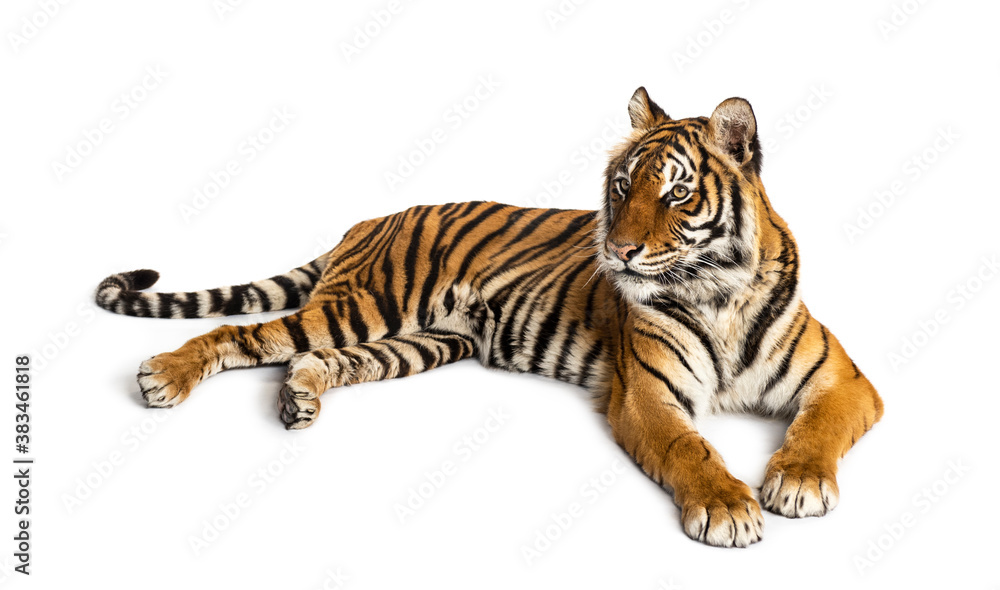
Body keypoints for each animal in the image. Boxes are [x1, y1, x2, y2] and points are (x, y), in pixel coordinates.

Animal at [95, 89, 883, 548]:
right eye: (622, 186)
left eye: (677, 194)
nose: (618, 249)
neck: (718, 291)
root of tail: (366, 221)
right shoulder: (648, 395)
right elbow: (691, 449)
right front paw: (727, 508)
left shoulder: (846, 382)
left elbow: (817, 428)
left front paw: (799, 483)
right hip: (366, 304)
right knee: (243, 334)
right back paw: (165, 376)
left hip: (423, 341)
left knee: (314, 359)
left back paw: (299, 399)